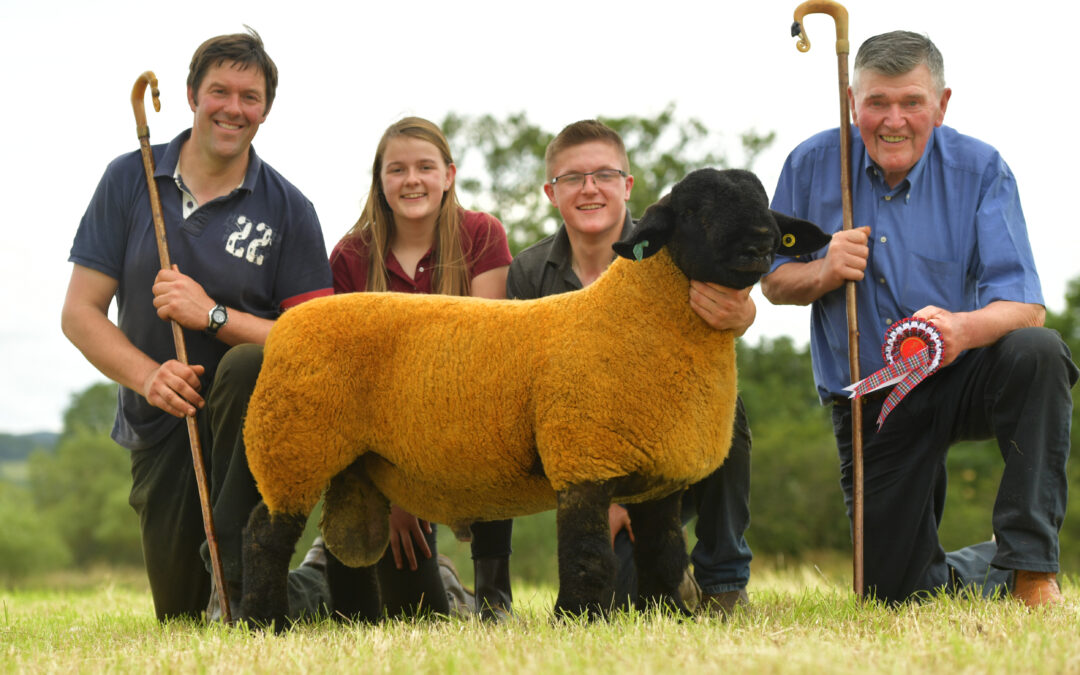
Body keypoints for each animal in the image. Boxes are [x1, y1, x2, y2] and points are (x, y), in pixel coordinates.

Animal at [238, 168, 825, 626]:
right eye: (694, 210)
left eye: (767, 207)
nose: (760, 244)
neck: (636, 317)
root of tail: (289, 325)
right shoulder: (583, 456)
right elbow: (588, 555)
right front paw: (579, 619)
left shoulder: (658, 475)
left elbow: (663, 555)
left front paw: (671, 617)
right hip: (291, 445)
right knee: (265, 536)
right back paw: (265, 623)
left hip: (352, 466)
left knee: (346, 547)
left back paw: (355, 623)